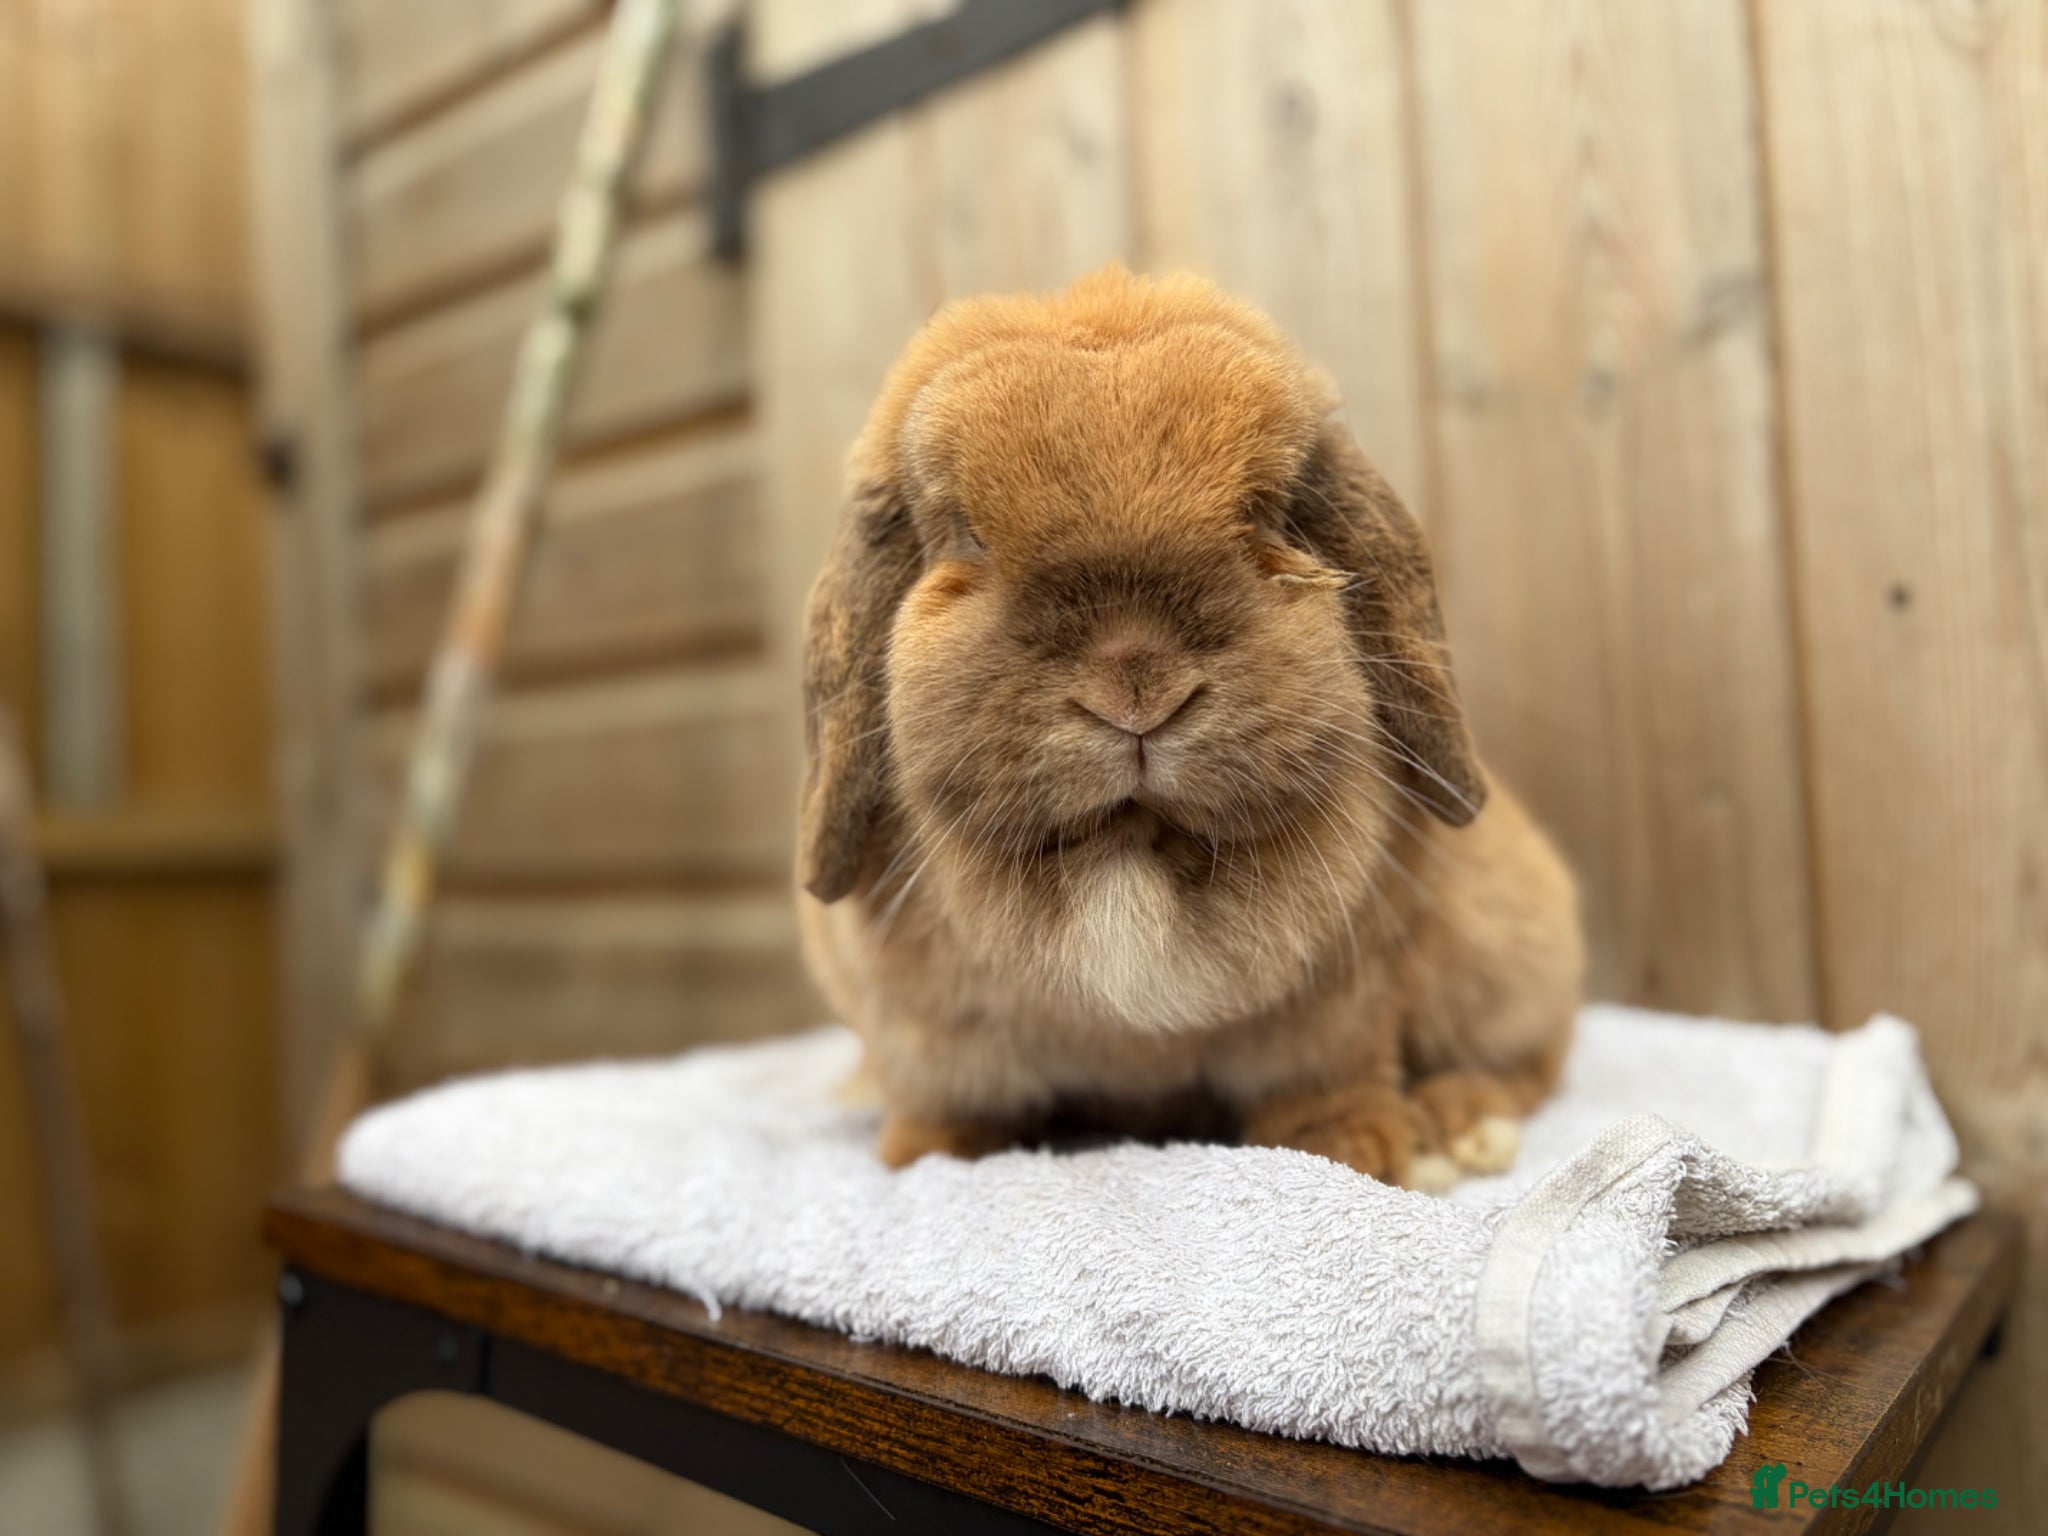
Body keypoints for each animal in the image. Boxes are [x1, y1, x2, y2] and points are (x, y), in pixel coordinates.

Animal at [795, 267, 1583, 1191]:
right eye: (967, 535)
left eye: (1268, 512)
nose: (1138, 688)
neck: (1131, 862)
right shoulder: (926, 1039)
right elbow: (945, 1102)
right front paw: (928, 1157)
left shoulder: (1341, 1004)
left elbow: (1329, 1078)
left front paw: (1353, 1148)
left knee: (1536, 1058)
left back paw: (1459, 1124)